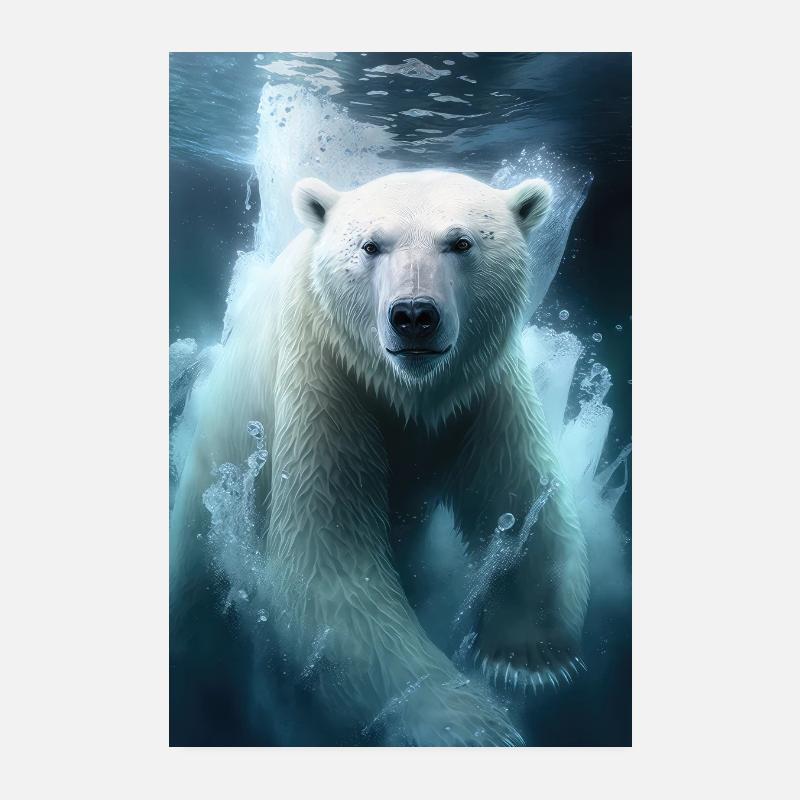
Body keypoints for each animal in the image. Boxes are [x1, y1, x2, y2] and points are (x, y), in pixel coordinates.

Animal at [170, 169, 589, 746]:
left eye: (461, 242)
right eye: (371, 245)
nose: (414, 316)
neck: (407, 390)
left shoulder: (481, 386)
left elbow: (520, 494)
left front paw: (531, 659)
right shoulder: (324, 367)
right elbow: (325, 560)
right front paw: (465, 722)